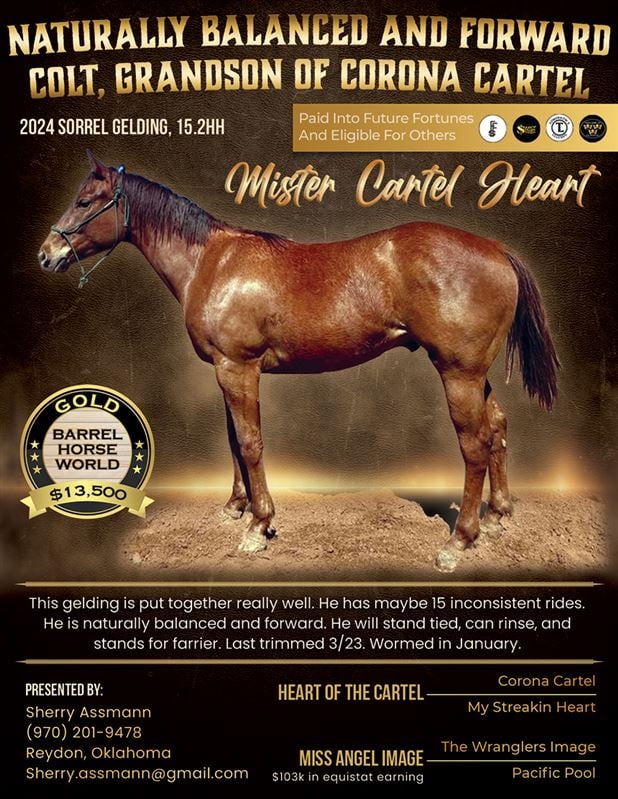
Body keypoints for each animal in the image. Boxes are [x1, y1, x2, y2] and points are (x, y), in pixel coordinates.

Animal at [38, 151, 559, 571]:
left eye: (85, 201)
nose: (47, 254)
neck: (213, 263)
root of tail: (496, 250)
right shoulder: (225, 371)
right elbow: (233, 439)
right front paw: (236, 508)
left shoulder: (238, 368)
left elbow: (250, 443)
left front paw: (259, 526)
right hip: (474, 374)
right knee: (497, 428)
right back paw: (497, 517)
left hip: (458, 373)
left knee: (475, 445)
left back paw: (459, 541)